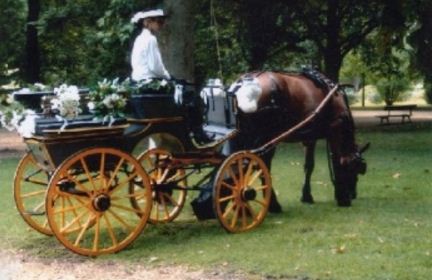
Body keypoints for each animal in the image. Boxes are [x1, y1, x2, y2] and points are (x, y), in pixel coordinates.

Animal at [228, 71, 370, 209]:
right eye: (356, 168)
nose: (353, 194)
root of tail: (245, 82)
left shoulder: (310, 138)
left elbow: (309, 165)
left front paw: (307, 196)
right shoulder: (335, 129)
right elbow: (337, 161)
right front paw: (342, 197)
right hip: (268, 137)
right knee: (263, 165)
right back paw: (273, 204)